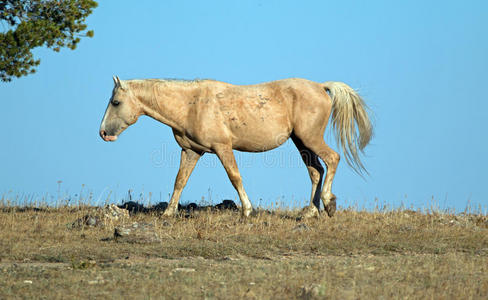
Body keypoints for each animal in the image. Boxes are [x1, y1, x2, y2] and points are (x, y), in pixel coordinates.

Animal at [100, 76, 374, 218]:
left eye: (115, 102)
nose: (103, 133)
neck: (191, 104)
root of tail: (320, 86)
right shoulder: (191, 151)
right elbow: (180, 180)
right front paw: (168, 213)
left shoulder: (223, 148)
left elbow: (235, 177)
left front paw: (248, 210)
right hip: (301, 142)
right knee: (316, 170)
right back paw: (310, 211)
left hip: (310, 138)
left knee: (332, 159)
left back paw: (328, 203)